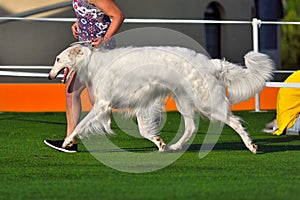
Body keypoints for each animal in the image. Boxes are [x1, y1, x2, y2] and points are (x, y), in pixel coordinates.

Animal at [47, 44, 274, 153]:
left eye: (58, 59)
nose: (49, 76)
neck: (95, 63)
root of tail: (211, 63)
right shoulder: (142, 104)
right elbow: (145, 130)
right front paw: (160, 143)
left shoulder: (104, 104)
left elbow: (80, 124)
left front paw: (68, 141)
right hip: (183, 100)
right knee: (191, 127)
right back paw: (175, 147)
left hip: (207, 102)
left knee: (234, 121)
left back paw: (251, 146)